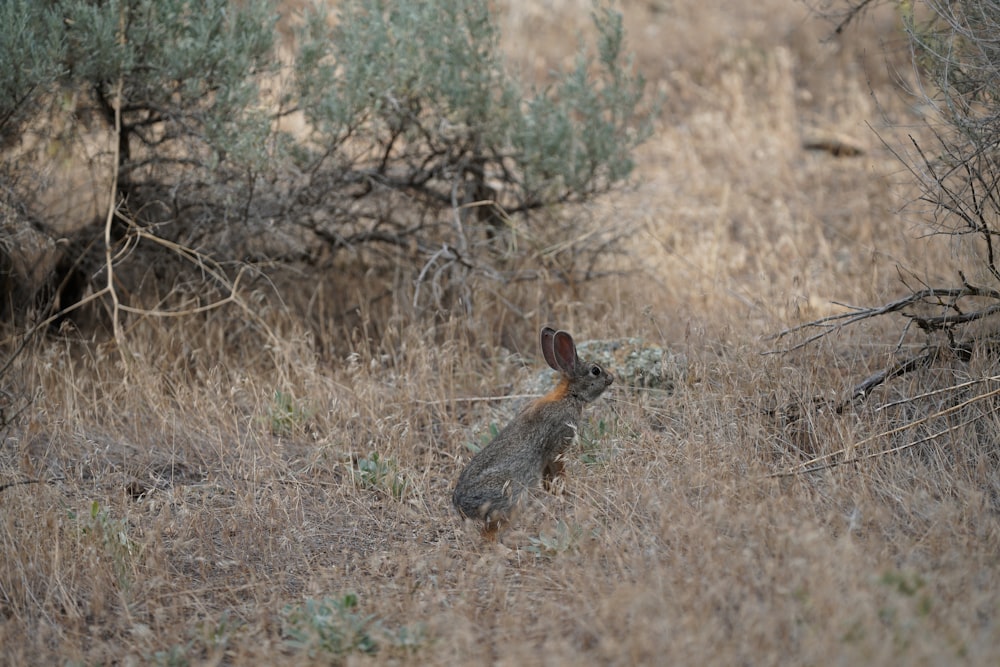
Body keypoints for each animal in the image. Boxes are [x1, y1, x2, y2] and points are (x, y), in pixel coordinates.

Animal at [452, 328, 608, 544]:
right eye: (595, 370)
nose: (611, 378)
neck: (569, 395)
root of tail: (461, 506)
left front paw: (554, 491)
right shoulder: (557, 448)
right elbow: (559, 471)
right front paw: (564, 491)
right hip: (510, 498)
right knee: (489, 534)